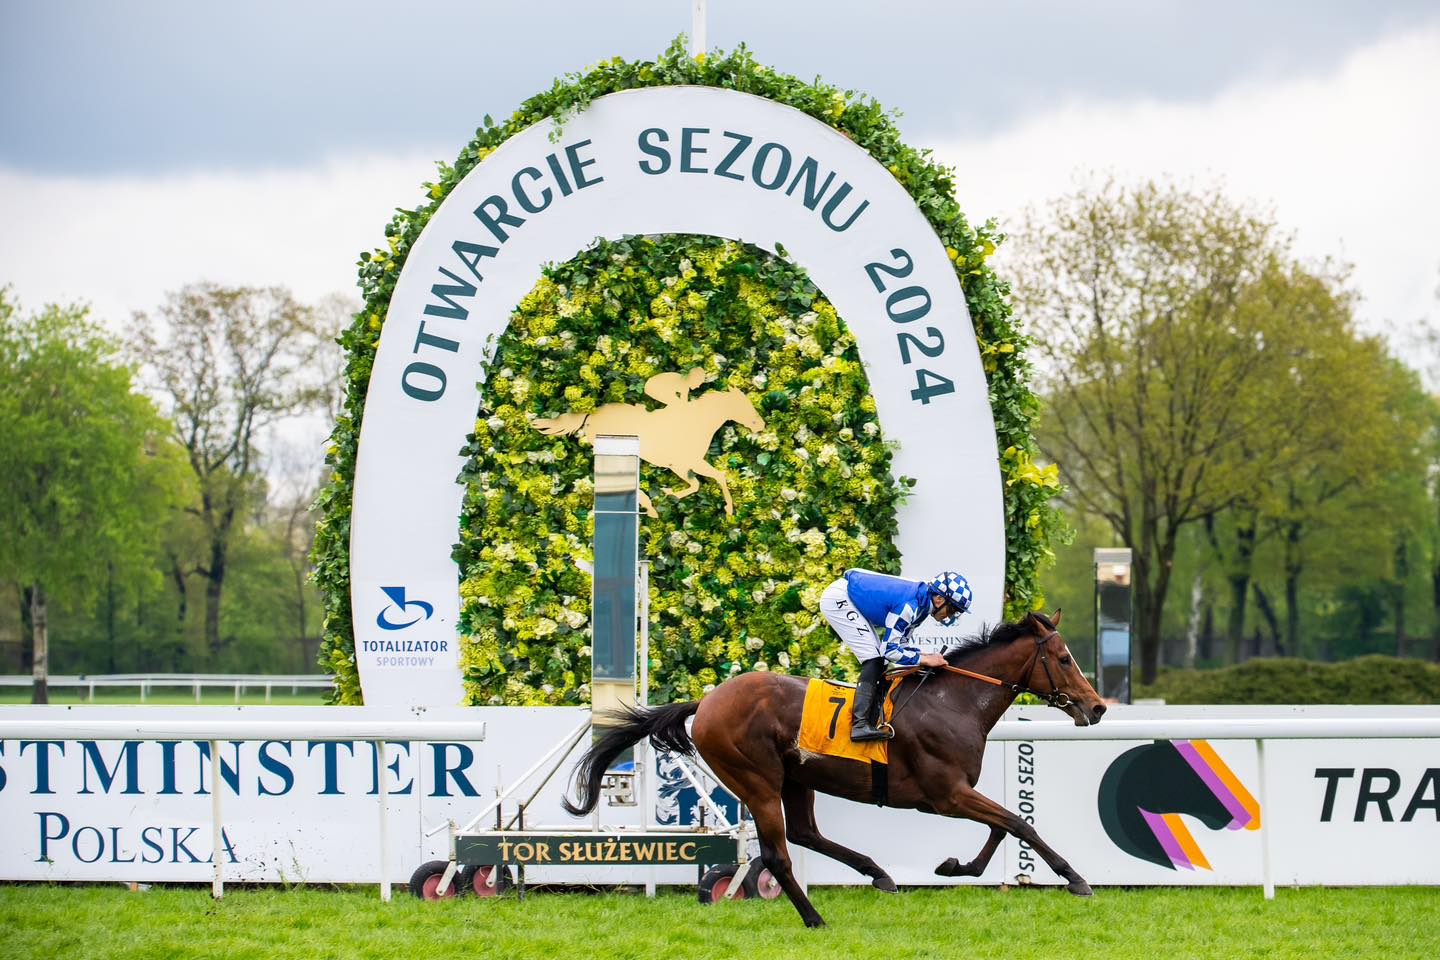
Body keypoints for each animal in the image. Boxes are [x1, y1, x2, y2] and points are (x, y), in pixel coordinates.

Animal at [535, 385, 766, 518]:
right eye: (744, 405)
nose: (761, 425)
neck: (696, 422)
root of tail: (592, 412)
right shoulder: (680, 465)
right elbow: (697, 484)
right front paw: (668, 492)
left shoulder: (692, 463)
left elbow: (717, 477)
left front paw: (729, 509)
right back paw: (649, 507)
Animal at [561, 613, 1100, 926]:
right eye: (1063, 657)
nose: (1096, 708)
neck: (954, 701)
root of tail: (707, 701)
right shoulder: (945, 794)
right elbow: (1017, 822)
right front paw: (1075, 877)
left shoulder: (955, 793)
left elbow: (1003, 827)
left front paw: (955, 866)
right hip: (757, 781)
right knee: (778, 854)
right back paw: (814, 917)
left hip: (797, 779)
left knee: (804, 834)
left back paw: (877, 873)